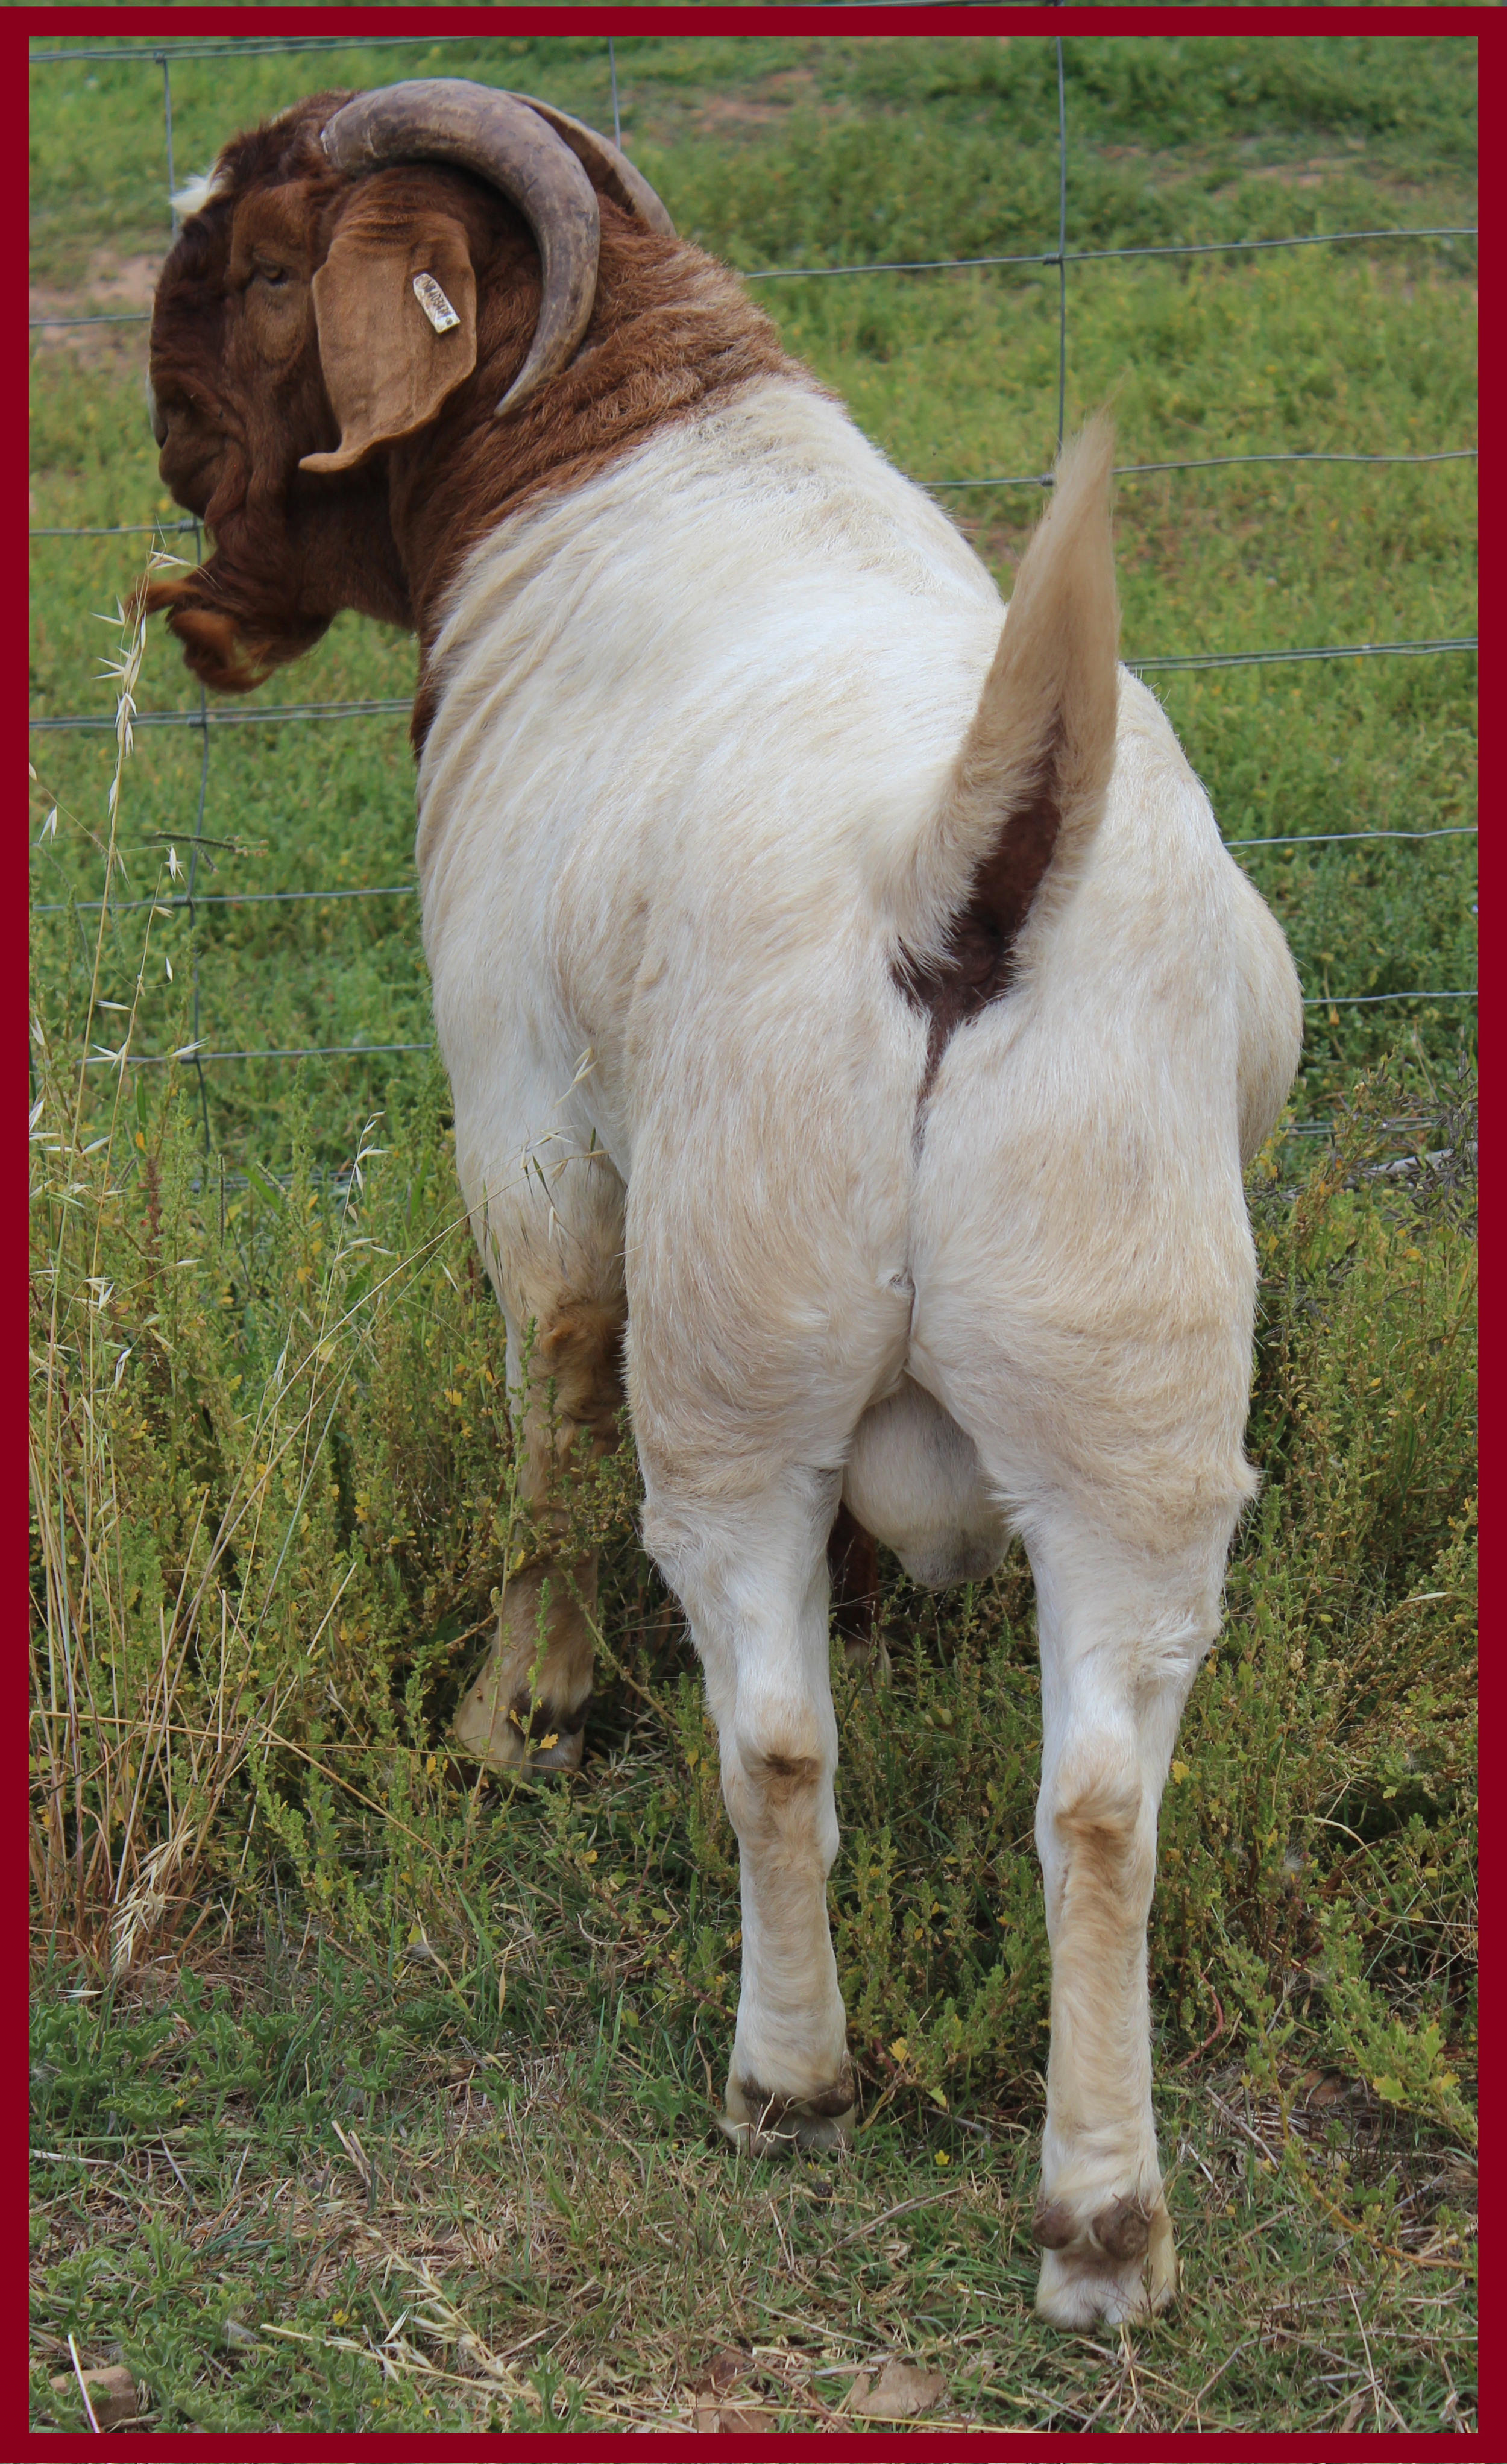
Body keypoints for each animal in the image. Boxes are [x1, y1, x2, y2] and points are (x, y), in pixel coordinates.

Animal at [150, 72, 1310, 2306]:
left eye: (257, 271)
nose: (169, 470)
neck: (626, 449)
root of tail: (966, 859)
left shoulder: (521, 1102)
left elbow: (548, 1373)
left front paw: (521, 1710)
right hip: (1134, 1388)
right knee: (1102, 1800)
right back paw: (1102, 2219)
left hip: (740, 1346)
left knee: (770, 1724)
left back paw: (790, 2076)